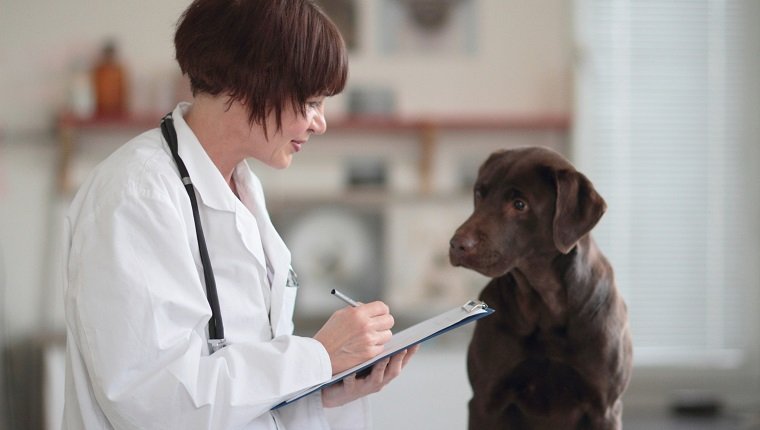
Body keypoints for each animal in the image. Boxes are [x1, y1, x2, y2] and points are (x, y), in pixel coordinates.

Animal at [448, 146, 632, 428]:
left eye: (519, 204)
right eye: (480, 193)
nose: (456, 244)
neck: (544, 306)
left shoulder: (605, 408)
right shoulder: (485, 402)